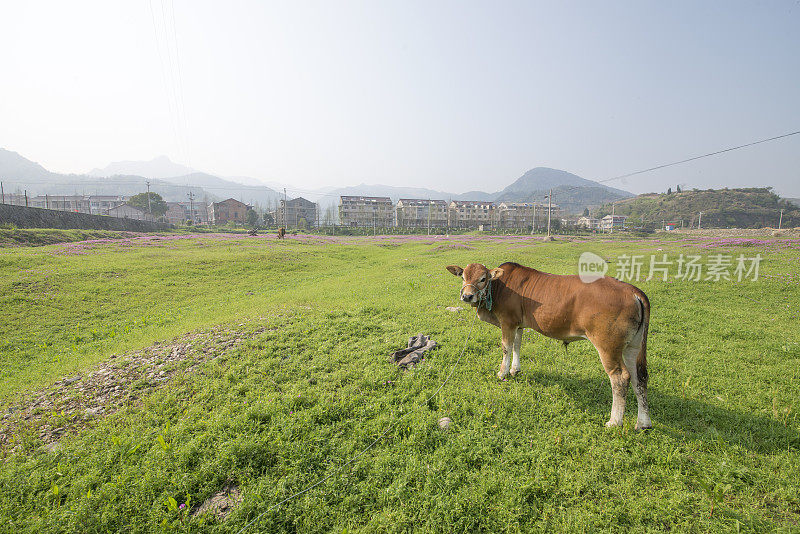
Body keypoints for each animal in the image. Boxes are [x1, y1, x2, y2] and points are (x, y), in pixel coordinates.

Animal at [446, 264, 652, 432]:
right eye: (463, 277)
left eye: (483, 279)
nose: (467, 295)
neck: (500, 286)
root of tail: (633, 291)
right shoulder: (518, 325)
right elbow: (517, 345)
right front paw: (515, 369)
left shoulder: (508, 322)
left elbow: (506, 347)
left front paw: (502, 372)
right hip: (633, 347)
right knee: (639, 378)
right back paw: (643, 422)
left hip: (608, 347)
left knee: (620, 378)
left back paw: (614, 421)